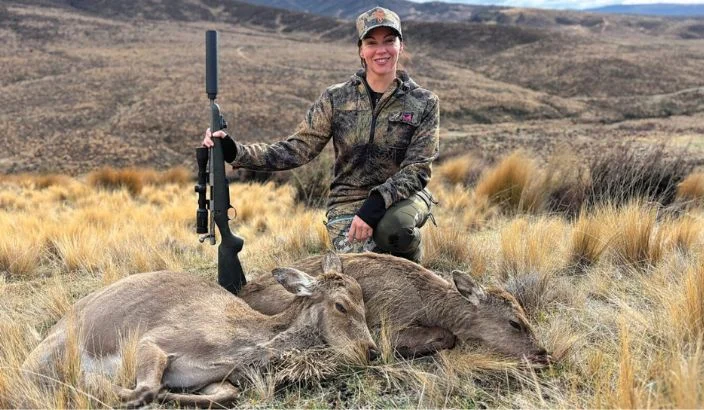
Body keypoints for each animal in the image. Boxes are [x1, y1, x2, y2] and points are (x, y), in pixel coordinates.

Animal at [22, 253, 377, 408]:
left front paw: (169, 394)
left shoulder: (208, 379)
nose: (371, 350)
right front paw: (97, 383)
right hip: (49, 354)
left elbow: (225, 395)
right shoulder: (153, 341)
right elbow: (144, 388)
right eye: (341, 305)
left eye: (364, 300)